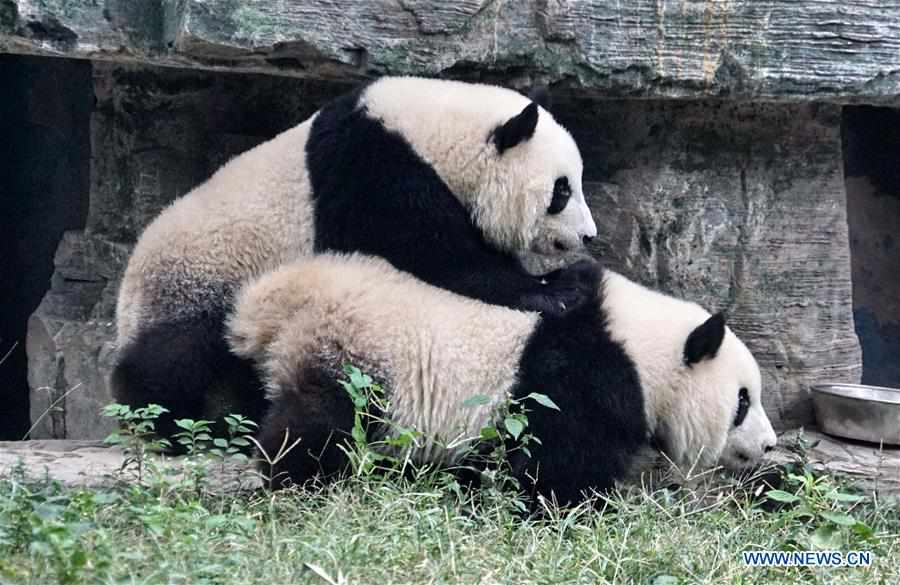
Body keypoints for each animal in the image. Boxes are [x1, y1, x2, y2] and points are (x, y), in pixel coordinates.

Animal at [110, 76, 596, 434]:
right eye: (562, 190)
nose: (589, 236)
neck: (435, 134)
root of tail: (126, 292)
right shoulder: (372, 170)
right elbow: (435, 256)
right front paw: (557, 289)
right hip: (202, 277)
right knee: (176, 355)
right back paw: (159, 417)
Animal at [229, 253, 776, 504]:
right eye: (742, 402)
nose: (769, 445)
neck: (643, 348)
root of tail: (281, 302)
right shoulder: (584, 378)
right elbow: (558, 464)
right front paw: (576, 507)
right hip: (355, 363)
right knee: (317, 428)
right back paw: (294, 479)